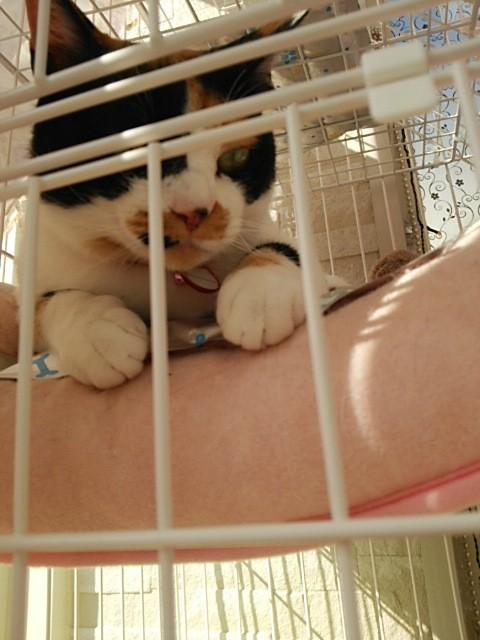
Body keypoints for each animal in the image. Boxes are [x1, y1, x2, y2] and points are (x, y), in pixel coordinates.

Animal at [20, 0, 341, 389]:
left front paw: (258, 295)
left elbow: (287, 250)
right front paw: (95, 331)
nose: (194, 211)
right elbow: (43, 307)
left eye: (236, 156)